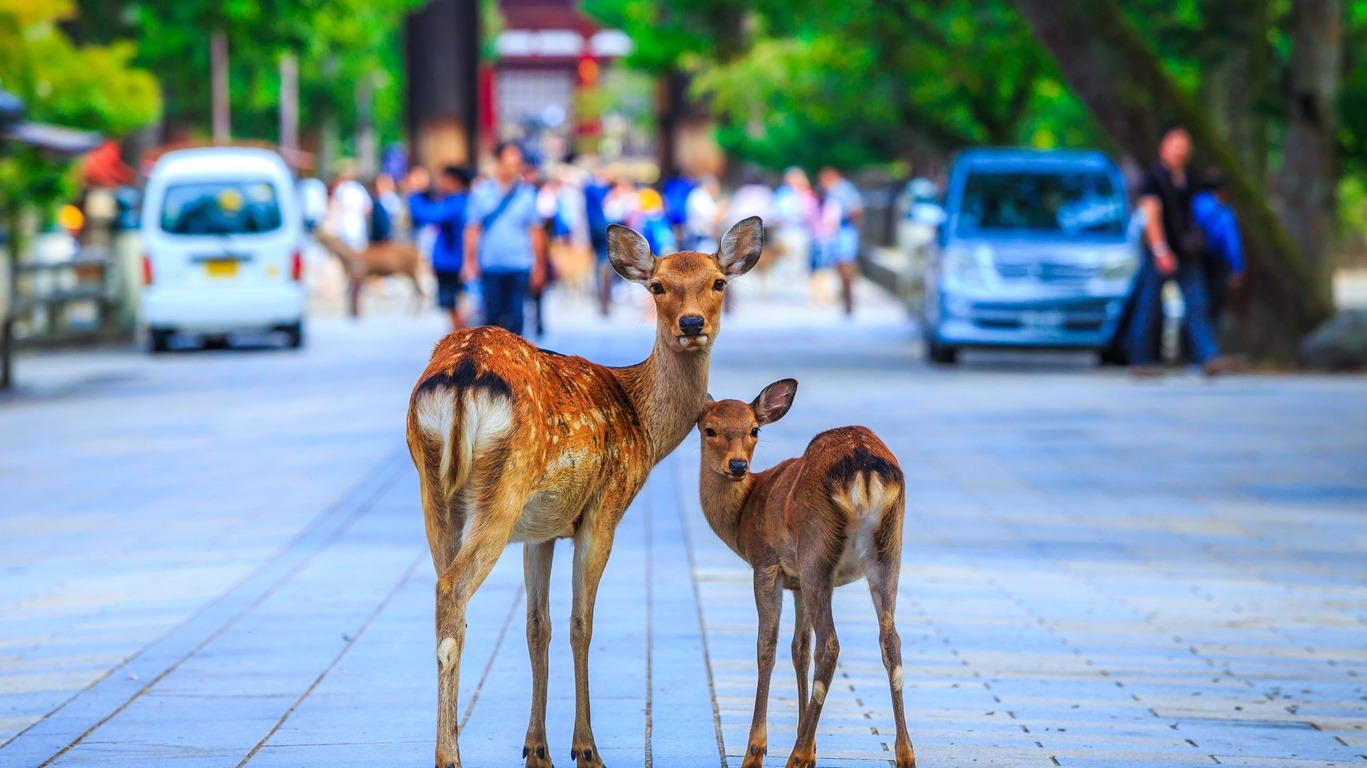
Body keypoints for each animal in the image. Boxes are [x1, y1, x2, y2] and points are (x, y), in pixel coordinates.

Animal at [404, 215, 770, 765]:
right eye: (657, 286)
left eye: (718, 282)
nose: (690, 324)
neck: (643, 425)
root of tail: (463, 374)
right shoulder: (604, 509)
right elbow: (582, 624)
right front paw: (585, 748)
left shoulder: (540, 529)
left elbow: (538, 625)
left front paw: (537, 748)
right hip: (503, 488)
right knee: (452, 590)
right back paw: (450, 755)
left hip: (435, 492)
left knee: (445, 593)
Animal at [694, 377, 918, 765]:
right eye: (710, 429)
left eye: (754, 429)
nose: (737, 465)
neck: (743, 517)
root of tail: (864, 469)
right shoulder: (795, 583)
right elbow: (799, 648)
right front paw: (812, 751)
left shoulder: (766, 564)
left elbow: (767, 646)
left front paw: (756, 751)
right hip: (889, 551)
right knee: (890, 640)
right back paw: (905, 755)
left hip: (817, 552)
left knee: (830, 645)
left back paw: (794, 756)